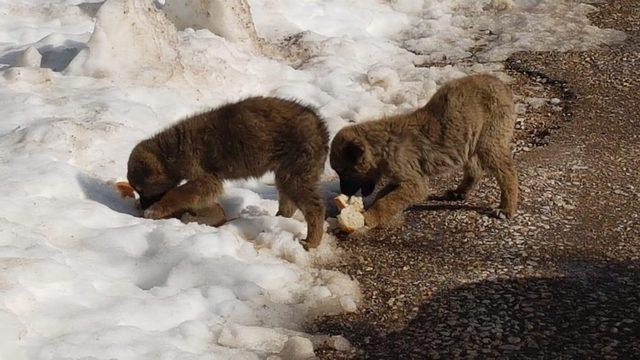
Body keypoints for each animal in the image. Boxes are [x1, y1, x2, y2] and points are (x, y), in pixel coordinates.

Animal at [130, 96, 330, 248]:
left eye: (142, 190)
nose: (142, 206)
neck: (172, 151)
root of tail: (320, 126)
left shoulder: (203, 176)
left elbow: (179, 192)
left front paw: (157, 209)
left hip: (296, 171)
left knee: (314, 207)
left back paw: (312, 240)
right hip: (287, 172)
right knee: (289, 201)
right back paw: (279, 219)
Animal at [332, 74, 516, 231]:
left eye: (344, 170)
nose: (345, 193)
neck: (382, 146)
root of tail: (501, 84)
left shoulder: (414, 182)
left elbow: (387, 201)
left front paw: (369, 216)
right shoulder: (399, 179)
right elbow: (383, 194)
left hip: (490, 141)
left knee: (507, 173)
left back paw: (506, 208)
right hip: (469, 142)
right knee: (475, 169)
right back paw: (459, 192)